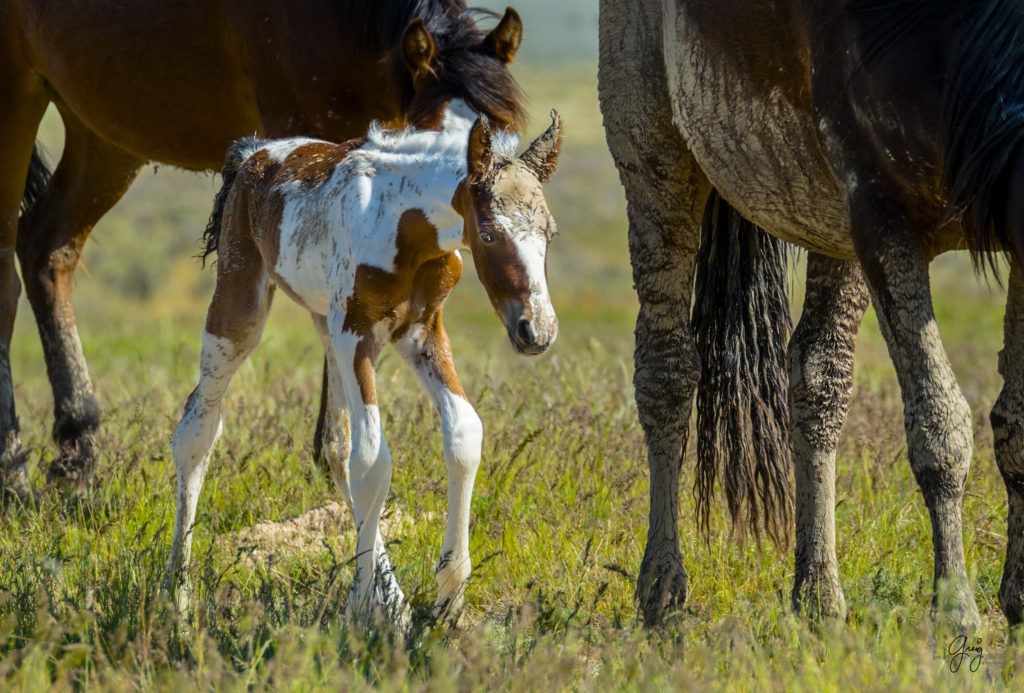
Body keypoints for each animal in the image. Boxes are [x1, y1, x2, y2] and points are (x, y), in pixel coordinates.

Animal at [2, 0, 528, 497]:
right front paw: (334, 453)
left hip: (103, 137)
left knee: (49, 249)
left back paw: (78, 453)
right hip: (20, 100)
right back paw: (14, 472)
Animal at [171, 101, 565, 622]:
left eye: (550, 233)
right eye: (488, 233)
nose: (536, 331)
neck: (407, 226)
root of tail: (254, 153)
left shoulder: (420, 330)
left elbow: (463, 432)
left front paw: (448, 597)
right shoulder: (357, 332)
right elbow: (374, 463)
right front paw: (360, 608)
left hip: (325, 323)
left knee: (334, 446)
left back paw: (396, 605)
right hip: (242, 307)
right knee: (197, 430)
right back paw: (175, 596)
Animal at [598, 0, 1024, 630]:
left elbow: (1014, 420)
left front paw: (1017, 595)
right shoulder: (883, 218)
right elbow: (939, 425)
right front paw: (956, 611)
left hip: (827, 215)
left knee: (816, 374)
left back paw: (818, 596)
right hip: (656, 156)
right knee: (667, 370)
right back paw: (661, 591)